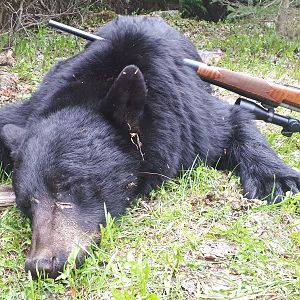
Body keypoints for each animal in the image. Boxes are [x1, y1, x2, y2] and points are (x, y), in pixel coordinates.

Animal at [0, 17, 298, 278]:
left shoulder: (190, 119)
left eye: (68, 187)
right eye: (26, 205)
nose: (41, 264)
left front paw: (278, 181)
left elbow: (234, 120)